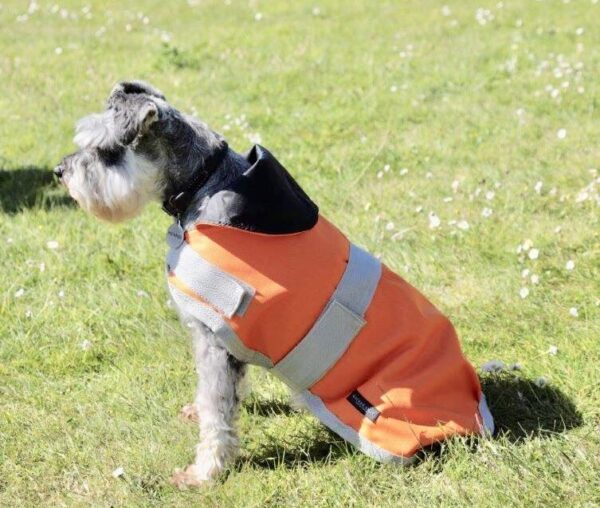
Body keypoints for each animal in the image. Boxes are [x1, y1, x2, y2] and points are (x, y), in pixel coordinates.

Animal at [56, 80, 494, 488]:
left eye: (105, 150)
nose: (60, 172)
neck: (204, 180)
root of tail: (474, 407)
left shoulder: (214, 340)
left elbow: (217, 412)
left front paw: (204, 473)